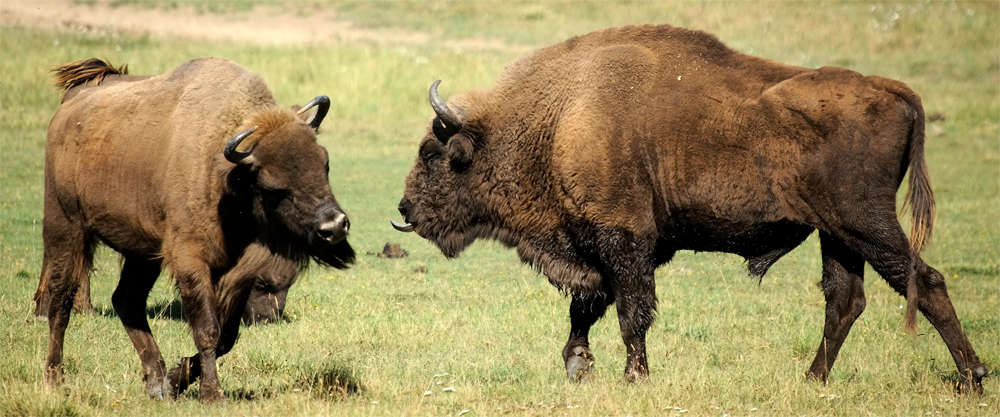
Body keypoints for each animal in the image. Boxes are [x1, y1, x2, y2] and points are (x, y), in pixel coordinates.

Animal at [39, 57, 356, 402]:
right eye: (274, 188)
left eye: (324, 162)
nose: (334, 226)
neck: (228, 176)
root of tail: (66, 112)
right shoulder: (190, 260)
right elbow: (208, 330)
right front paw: (212, 393)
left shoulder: (236, 273)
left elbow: (227, 336)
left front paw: (176, 379)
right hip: (66, 228)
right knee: (61, 300)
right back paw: (54, 379)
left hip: (143, 252)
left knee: (126, 300)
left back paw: (157, 383)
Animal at [394, 26, 988, 394]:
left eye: (433, 153)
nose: (405, 210)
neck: (558, 118)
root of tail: (892, 89)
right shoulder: (608, 247)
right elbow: (589, 306)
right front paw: (579, 365)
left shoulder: (623, 239)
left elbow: (632, 312)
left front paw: (634, 377)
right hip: (836, 234)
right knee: (845, 300)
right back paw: (811, 381)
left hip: (865, 223)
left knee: (924, 281)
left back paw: (972, 378)